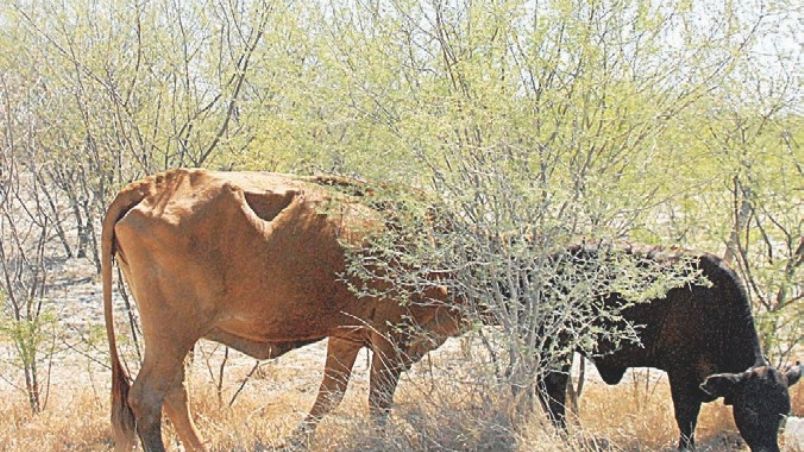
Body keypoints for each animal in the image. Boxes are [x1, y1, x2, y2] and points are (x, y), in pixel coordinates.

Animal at [103, 168, 462, 450]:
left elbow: (330, 394)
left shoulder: (346, 335)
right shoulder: (389, 333)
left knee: (175, 391)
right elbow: (379, 399)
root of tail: (152, 185)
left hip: (176, 339)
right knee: (148, 396)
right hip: (173, 334)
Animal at [536, 245, 800, 450]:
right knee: (553, 393)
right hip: (554, 349)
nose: (769, 448)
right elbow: (686, 419)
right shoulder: (680, 374)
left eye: (784, 412)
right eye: (750, 409)